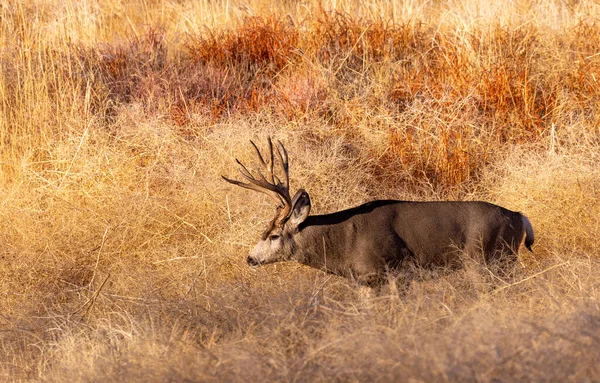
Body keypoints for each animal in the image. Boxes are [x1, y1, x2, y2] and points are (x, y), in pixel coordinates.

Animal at [221, 140, 536, 290]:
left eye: (274, 235)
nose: (250, 258)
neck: (342, 245)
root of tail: (518, 216)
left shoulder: (386, 271)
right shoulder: (366, 281)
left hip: (486, 259)